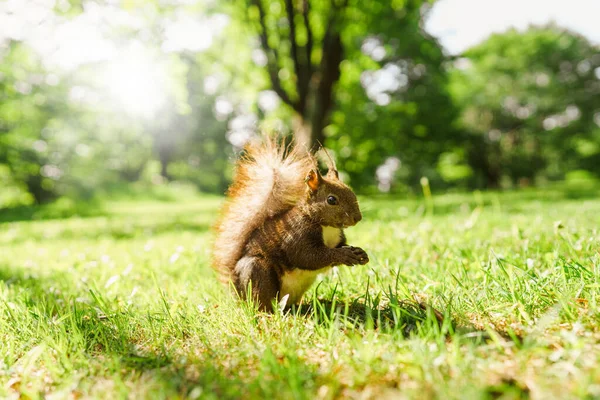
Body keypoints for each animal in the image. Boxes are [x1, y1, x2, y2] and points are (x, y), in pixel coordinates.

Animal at [211, 136, 370, 310]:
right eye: (331, 200)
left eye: (351, 192)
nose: (357, 218)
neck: (327, 227)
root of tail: (236, 292)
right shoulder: (296, 236)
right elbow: (309, 257)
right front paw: (344, 255)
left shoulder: (337, 238)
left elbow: (338, 247)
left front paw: (361, 253)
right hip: (257, 271)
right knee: (261, 301)